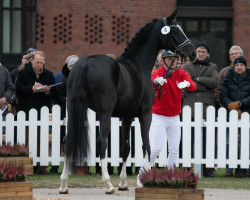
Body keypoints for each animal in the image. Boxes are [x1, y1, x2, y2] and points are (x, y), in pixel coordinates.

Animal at [59, 10, 195, 195]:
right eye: (175, 31)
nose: (193, 53)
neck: (137, 65)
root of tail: (85, 63)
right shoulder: (145, 113)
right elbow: (147, 145)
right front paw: (145, 179)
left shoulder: (127, 116)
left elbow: (125, 148)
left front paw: (123, 183)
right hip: (104, 113)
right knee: (102, 142)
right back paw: (108, 184)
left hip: (75, 109)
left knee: (68, 140)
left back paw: (64, 184)